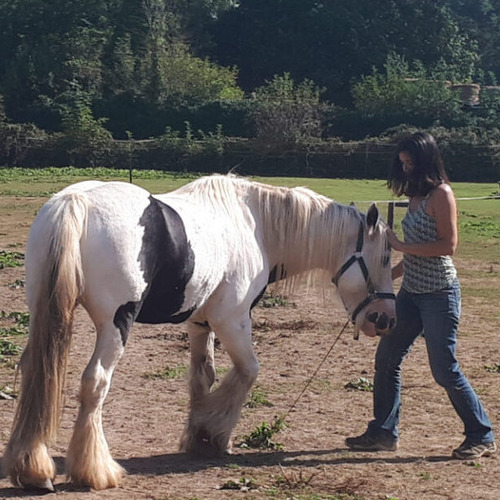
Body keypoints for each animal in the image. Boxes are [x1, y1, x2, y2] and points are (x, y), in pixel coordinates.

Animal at [1, 174, 396, 490]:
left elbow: (202, 377)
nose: (385, 319)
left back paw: (32, 468)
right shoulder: (232, 320)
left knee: (35, 374)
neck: (255, 225)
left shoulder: (200, 323)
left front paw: (197, 435)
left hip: (44, 316)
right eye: (385, 257)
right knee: (95, 383)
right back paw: (95, 471)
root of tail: (75, 202)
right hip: (115, 324)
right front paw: (214, 434)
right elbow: (248, 372)